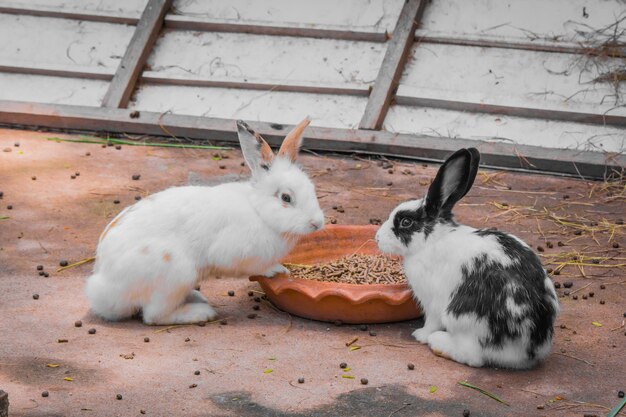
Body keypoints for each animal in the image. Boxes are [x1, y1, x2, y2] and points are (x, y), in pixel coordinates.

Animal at [86, 117, 324, 324]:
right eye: (286, 198)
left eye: (311, 188)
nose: (317, 223)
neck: (258, 211)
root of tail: (102, 287)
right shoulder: (237, 253)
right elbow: (257, 267)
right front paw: (278, 270)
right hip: (176, 274)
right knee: (154, 316)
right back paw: (201, 312)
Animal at [372, 147, 560, 368]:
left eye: (406, 222)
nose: (377, 238)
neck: (433, 240)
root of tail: (528, 350)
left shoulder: (433, 301)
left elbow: (431, 321)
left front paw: (420, 334)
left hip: (462, 319)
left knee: (472, 356)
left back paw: (438, 341)